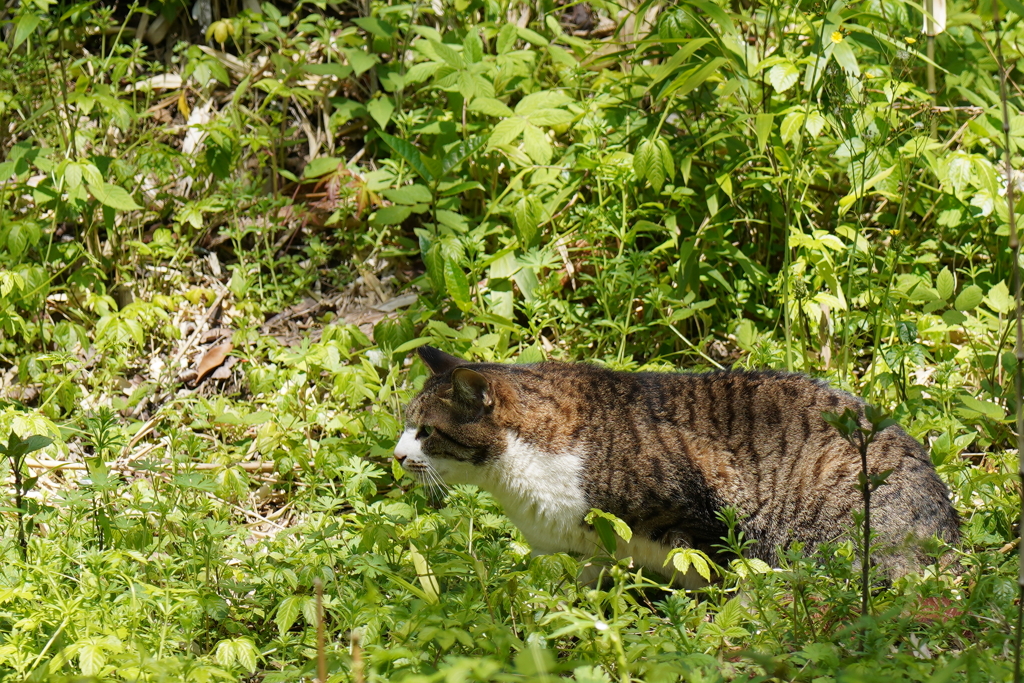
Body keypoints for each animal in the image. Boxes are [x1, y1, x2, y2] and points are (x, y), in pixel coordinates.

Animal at [393, 348, 958, 589]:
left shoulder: (705, 507)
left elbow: (712, 576)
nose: (396, 457)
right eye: (405, 424)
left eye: (425, 432)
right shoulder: (583, 554)